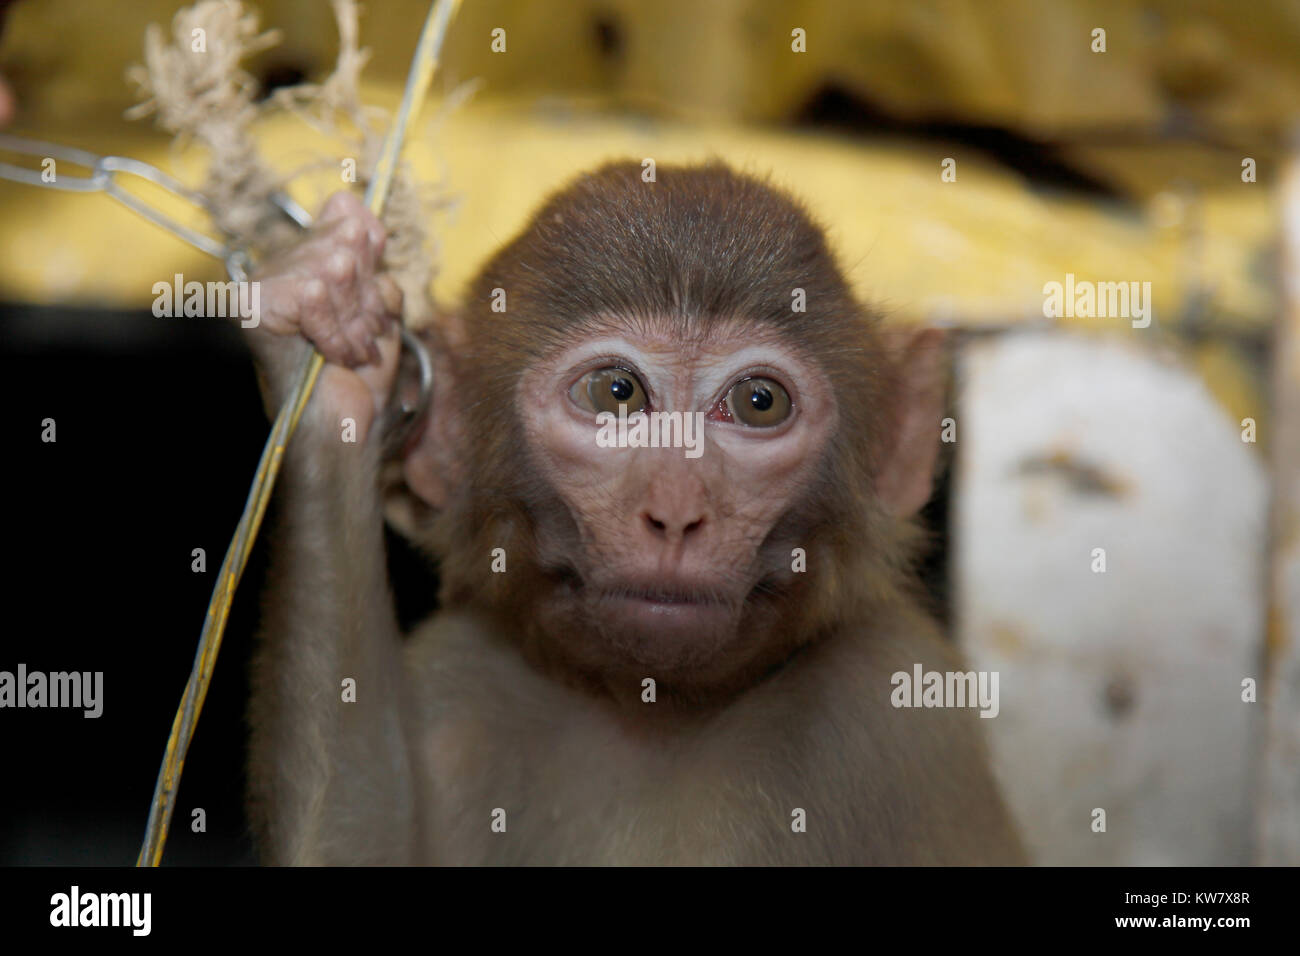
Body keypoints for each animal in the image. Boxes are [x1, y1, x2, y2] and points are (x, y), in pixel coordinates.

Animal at [241, 160, 1024, 863]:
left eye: (758, 402)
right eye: (615, 394)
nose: (675, 515)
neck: (650, 710)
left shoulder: (891, 714)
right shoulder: (459, 681)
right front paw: (327, 327)